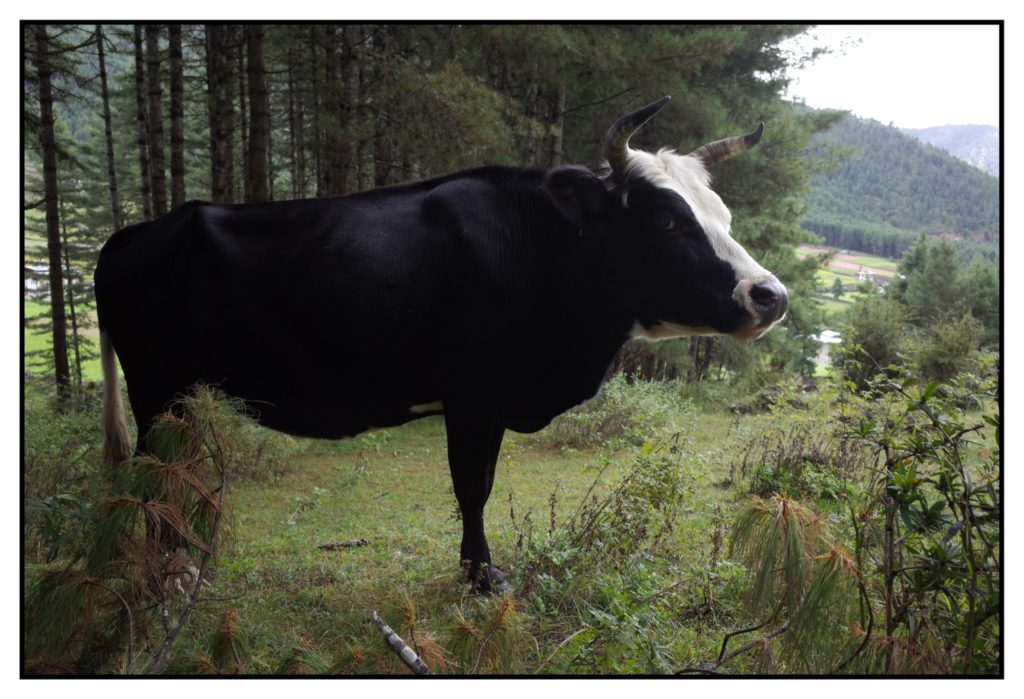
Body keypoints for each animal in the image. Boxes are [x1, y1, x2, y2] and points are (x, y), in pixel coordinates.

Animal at [95, 96, 787, 594]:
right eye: (666, 219)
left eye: (723, 214)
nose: (771, 295)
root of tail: (140, 230)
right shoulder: (472, 395)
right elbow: (471, 487)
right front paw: (481, 577)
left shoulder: (498, 400)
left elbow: (483, 481)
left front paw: (474, 569)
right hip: (154, 387)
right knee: (151, 474)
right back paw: (172, 573)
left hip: (182, 394)